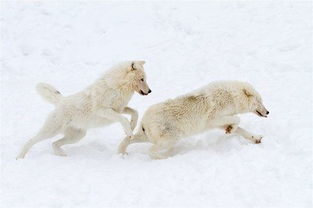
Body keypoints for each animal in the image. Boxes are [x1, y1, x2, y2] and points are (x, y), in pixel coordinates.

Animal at [17, 61, 151, 158]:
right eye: (142, 79)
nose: (150, 91)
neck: (116, 87)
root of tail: (61, 100)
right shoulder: (104, 111)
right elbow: (123, 119)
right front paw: (129, 132)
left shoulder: (120, 109)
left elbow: (135, 112)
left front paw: (132, 126)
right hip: (51, 131)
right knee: (31, 140)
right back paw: (20, 157)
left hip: (77, 136)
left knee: (54, 143)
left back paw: (62, 155)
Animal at [118, 80, 270, 158]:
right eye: (260, 101)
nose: (268, 112)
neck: (232, 96)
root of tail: (144, 120)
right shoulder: (213, 119)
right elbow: (238, 119)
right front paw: (231, 129)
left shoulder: (218, 123)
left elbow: (241, 129)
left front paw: (255, 138)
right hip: (171, 139)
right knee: (151, 151)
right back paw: (167, 157)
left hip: (148, 137)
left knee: (127, 139)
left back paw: (122, 153)